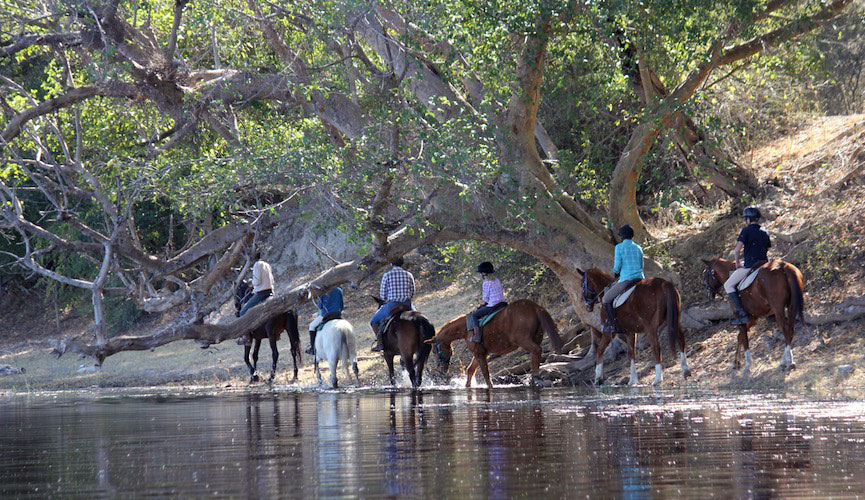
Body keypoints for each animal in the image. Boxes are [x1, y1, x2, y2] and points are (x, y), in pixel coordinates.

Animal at [426, 299, 564, 389]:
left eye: (434, 351)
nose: (441, 370)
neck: (466, 328)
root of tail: (534, 306)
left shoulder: (479, 353)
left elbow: (485, 372)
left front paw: (490, 386)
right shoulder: (481, 353)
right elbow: (471, 370)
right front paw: (467, 386)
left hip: (524, 340)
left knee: (537, 350)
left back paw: (536, 378)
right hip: (536, 337)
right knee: (534, 355)